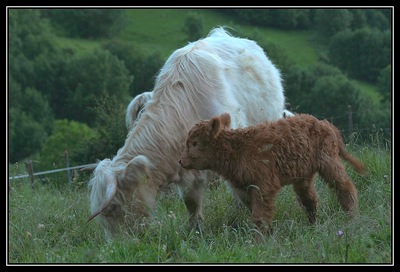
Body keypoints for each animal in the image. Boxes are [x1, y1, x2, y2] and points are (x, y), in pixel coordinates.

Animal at [180, 112, 364, 240]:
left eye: (195, 143)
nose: (181, 161)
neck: (237, 150)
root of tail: (323, 123)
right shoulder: (245, 188)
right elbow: (259, 213)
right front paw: (268, 234)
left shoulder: (264, 185)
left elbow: (260, 215)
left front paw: (258, 242)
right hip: (303, 176)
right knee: (309, 201)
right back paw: (312, 227)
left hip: (329, 162)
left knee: (345, 188)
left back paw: (353, 217)